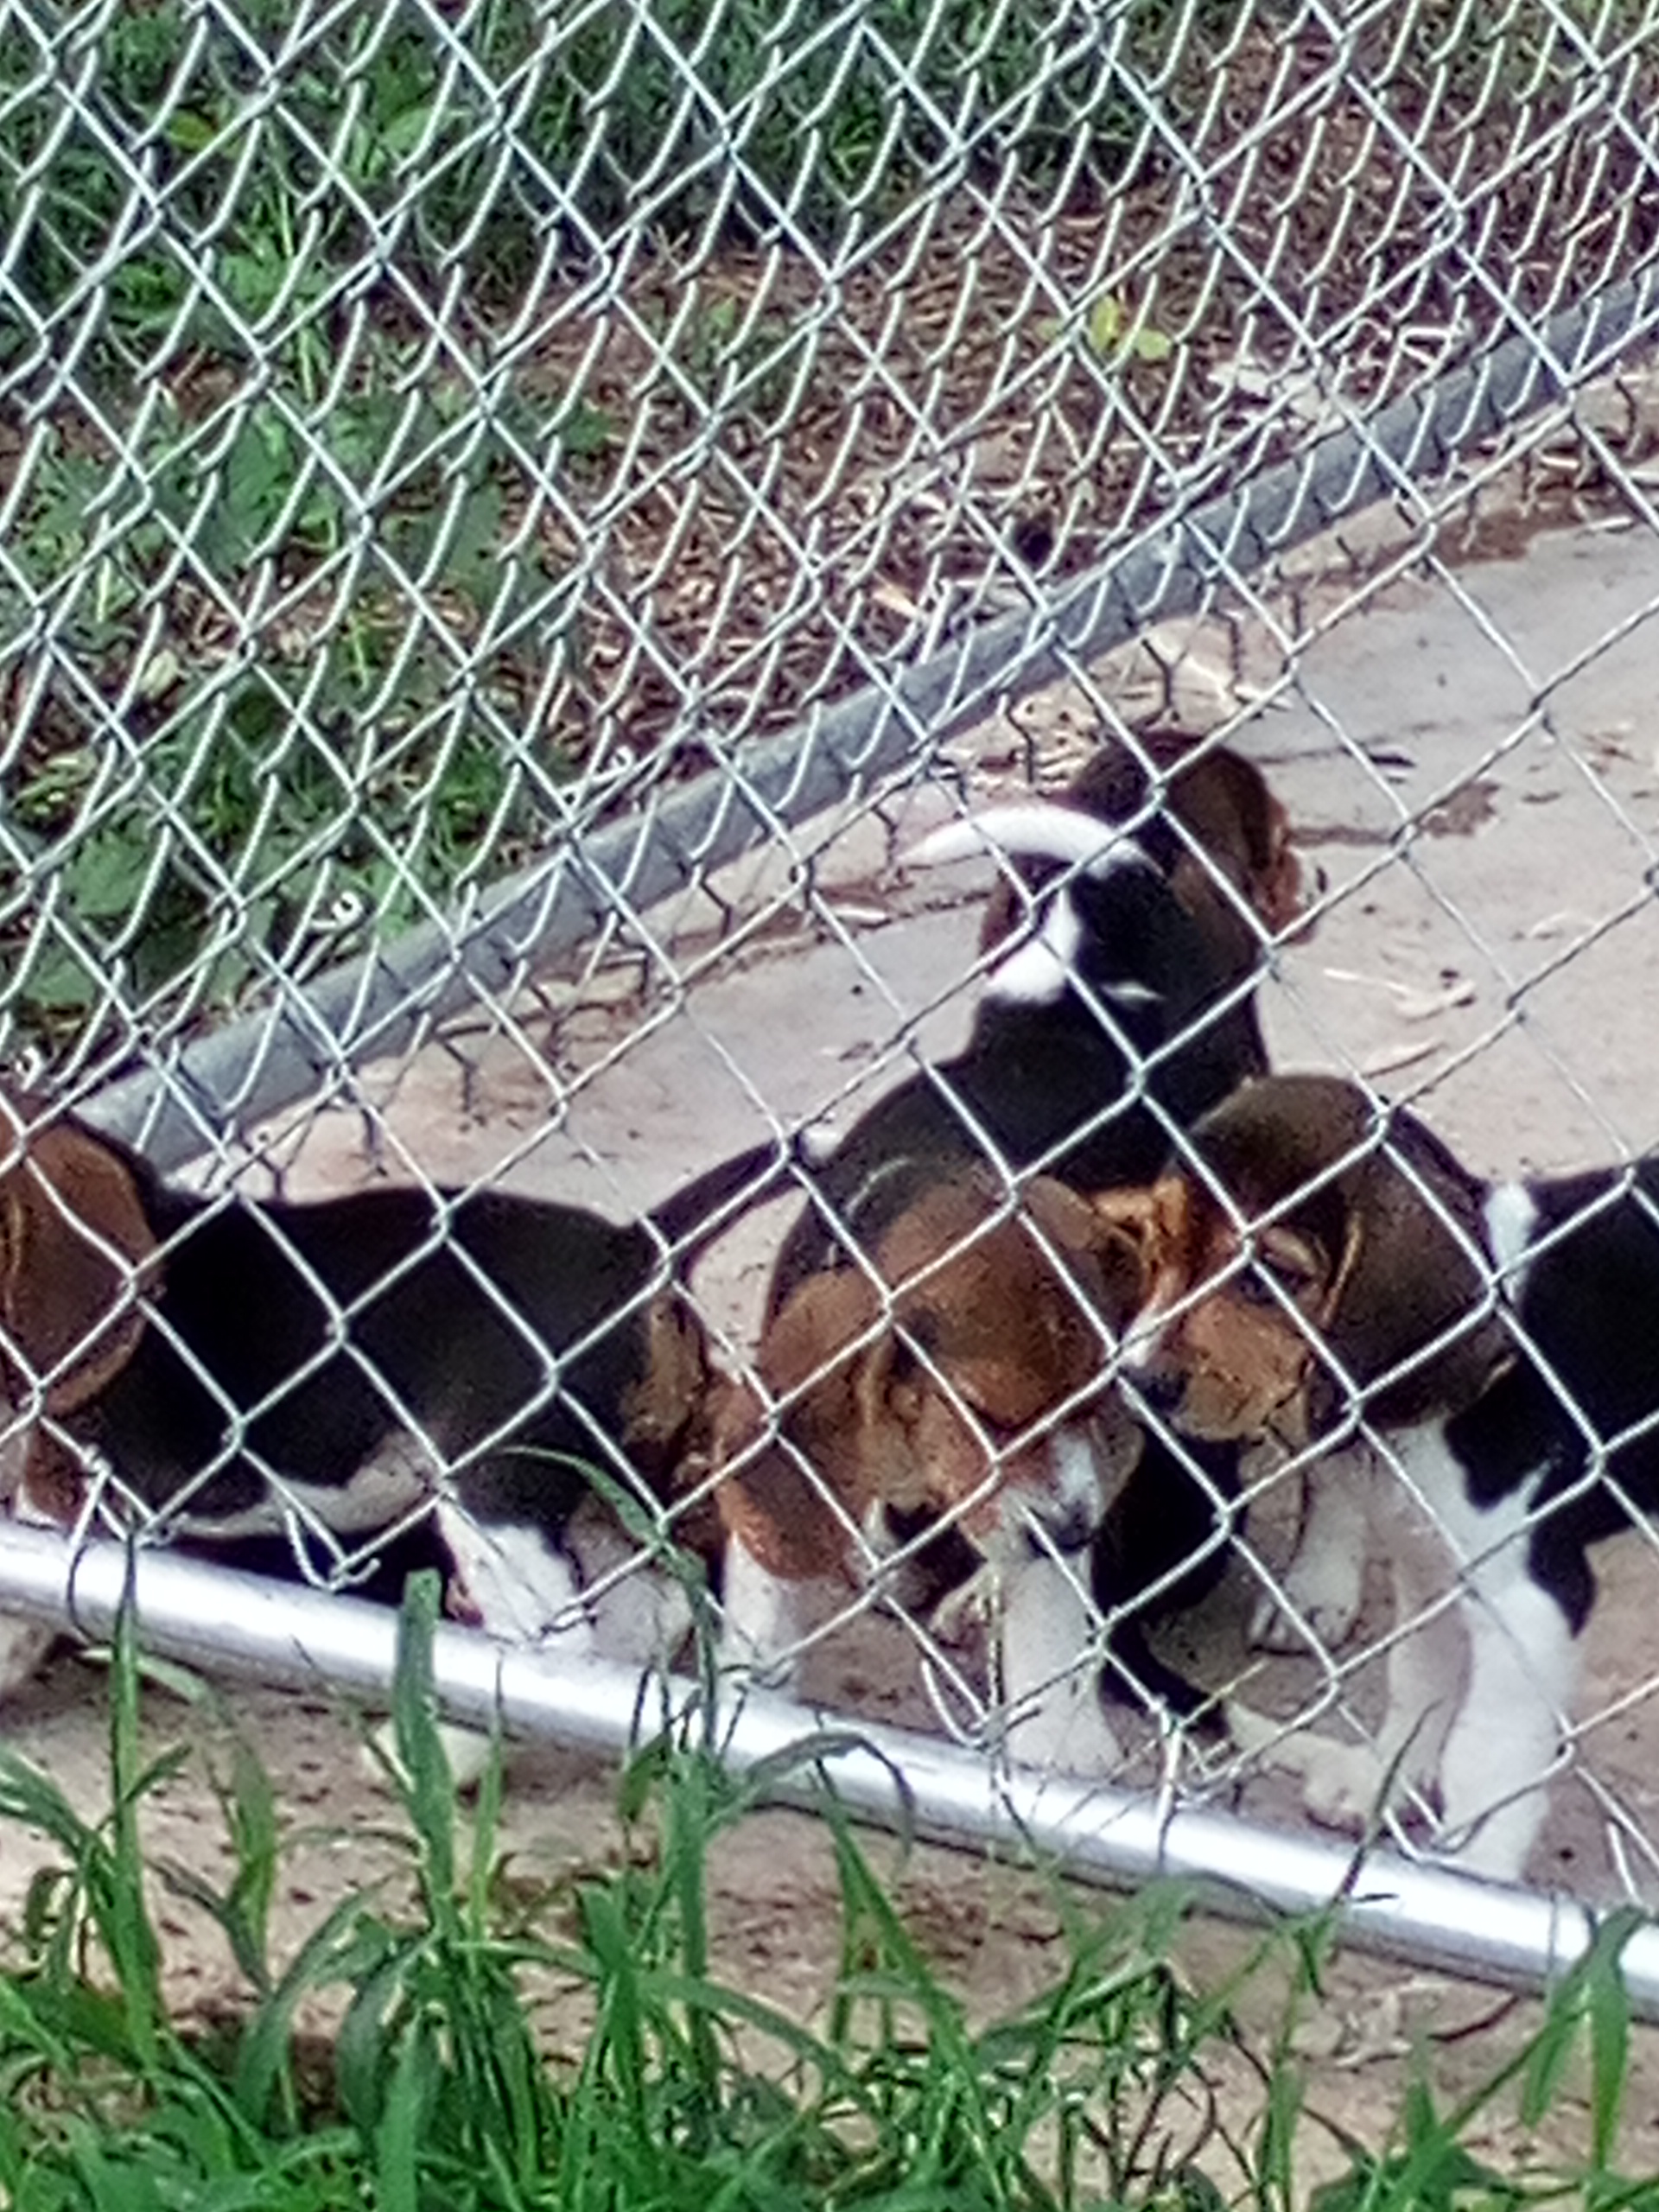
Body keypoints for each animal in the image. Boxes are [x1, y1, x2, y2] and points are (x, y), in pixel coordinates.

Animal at [1111, 1070, 1659, 1880]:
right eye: (1159, 1243)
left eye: (1270, 1278)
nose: (1140, 1382)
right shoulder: (1427, 1565)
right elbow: (1418, 1683)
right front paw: (1381, 1785)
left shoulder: (1527, 1602)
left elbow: (1489, 1755)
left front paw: (1477, 1872)